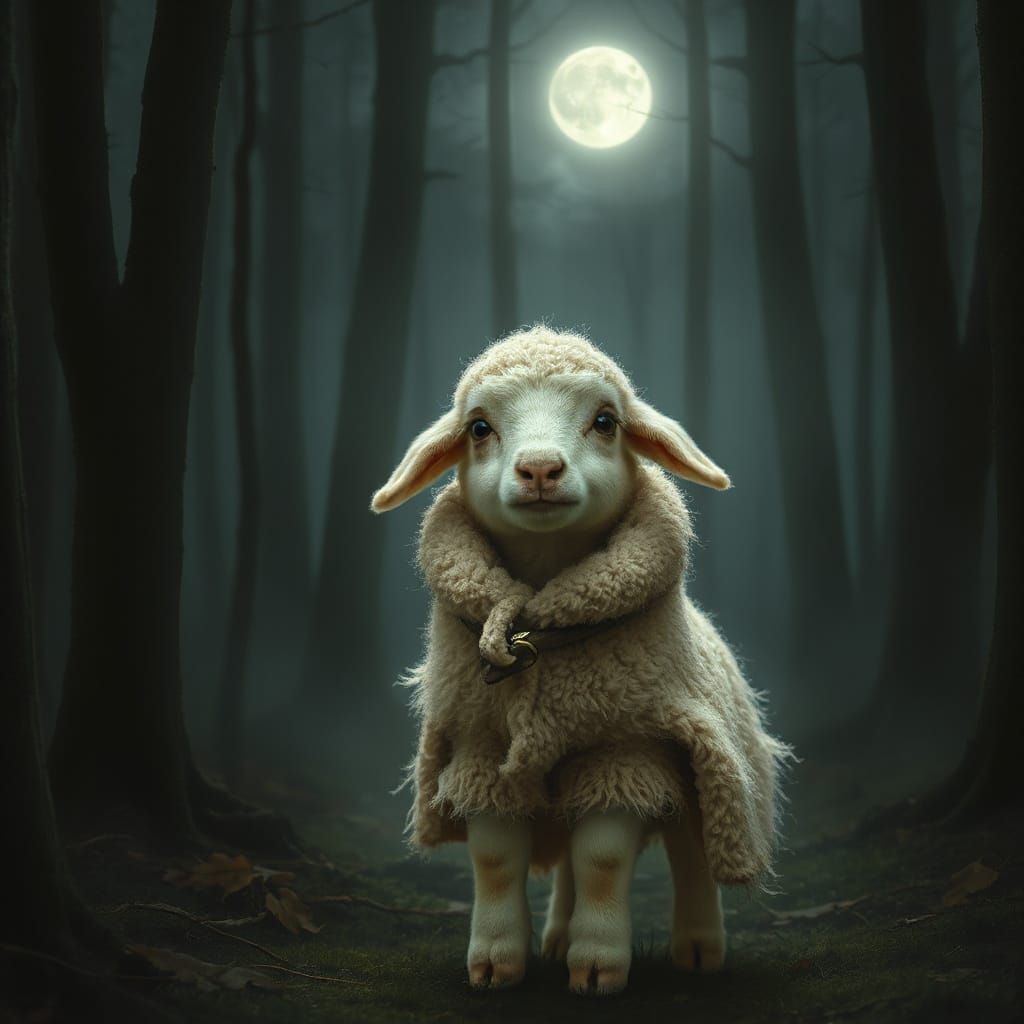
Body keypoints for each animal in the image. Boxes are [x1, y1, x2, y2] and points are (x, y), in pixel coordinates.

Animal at [372, 325, 790, 995]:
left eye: (605, 421)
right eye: (479, 427)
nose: (540, 468)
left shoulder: (625, 751)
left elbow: (603, 858)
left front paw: (598, 965)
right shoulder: (484, 751)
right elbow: (497, 859)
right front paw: (496, 962)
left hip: (706, 774)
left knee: (691, 855)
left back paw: (699, 949)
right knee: (567, 854)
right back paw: (557, 935)